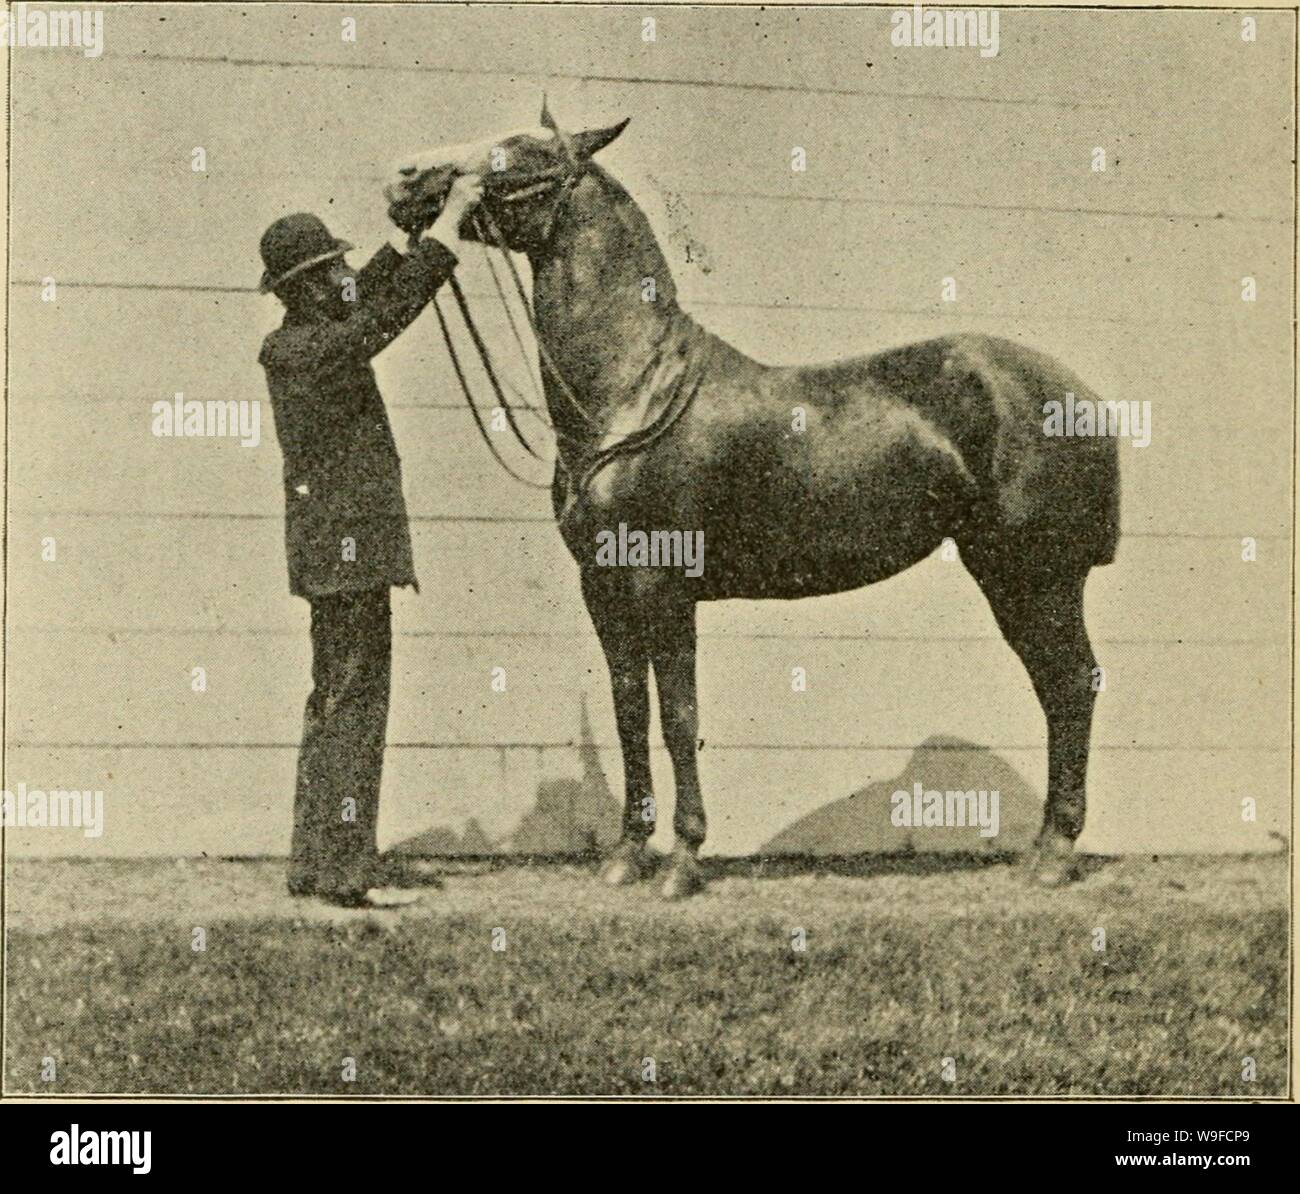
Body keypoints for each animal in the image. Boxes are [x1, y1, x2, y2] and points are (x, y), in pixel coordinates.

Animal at [385, 102, 1120, 898]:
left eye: (516, 154)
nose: (404, 178)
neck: (633, 390)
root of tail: (1082, 395)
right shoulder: (604, 589)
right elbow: (628, 712)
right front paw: (627, 855)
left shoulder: (663, 585)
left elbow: (678, 717)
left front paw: (682, 861)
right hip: (1008, 575)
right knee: (1057, 690)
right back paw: (1041, 850)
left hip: (1036, 577)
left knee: (1071, 687)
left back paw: (1054, 855)